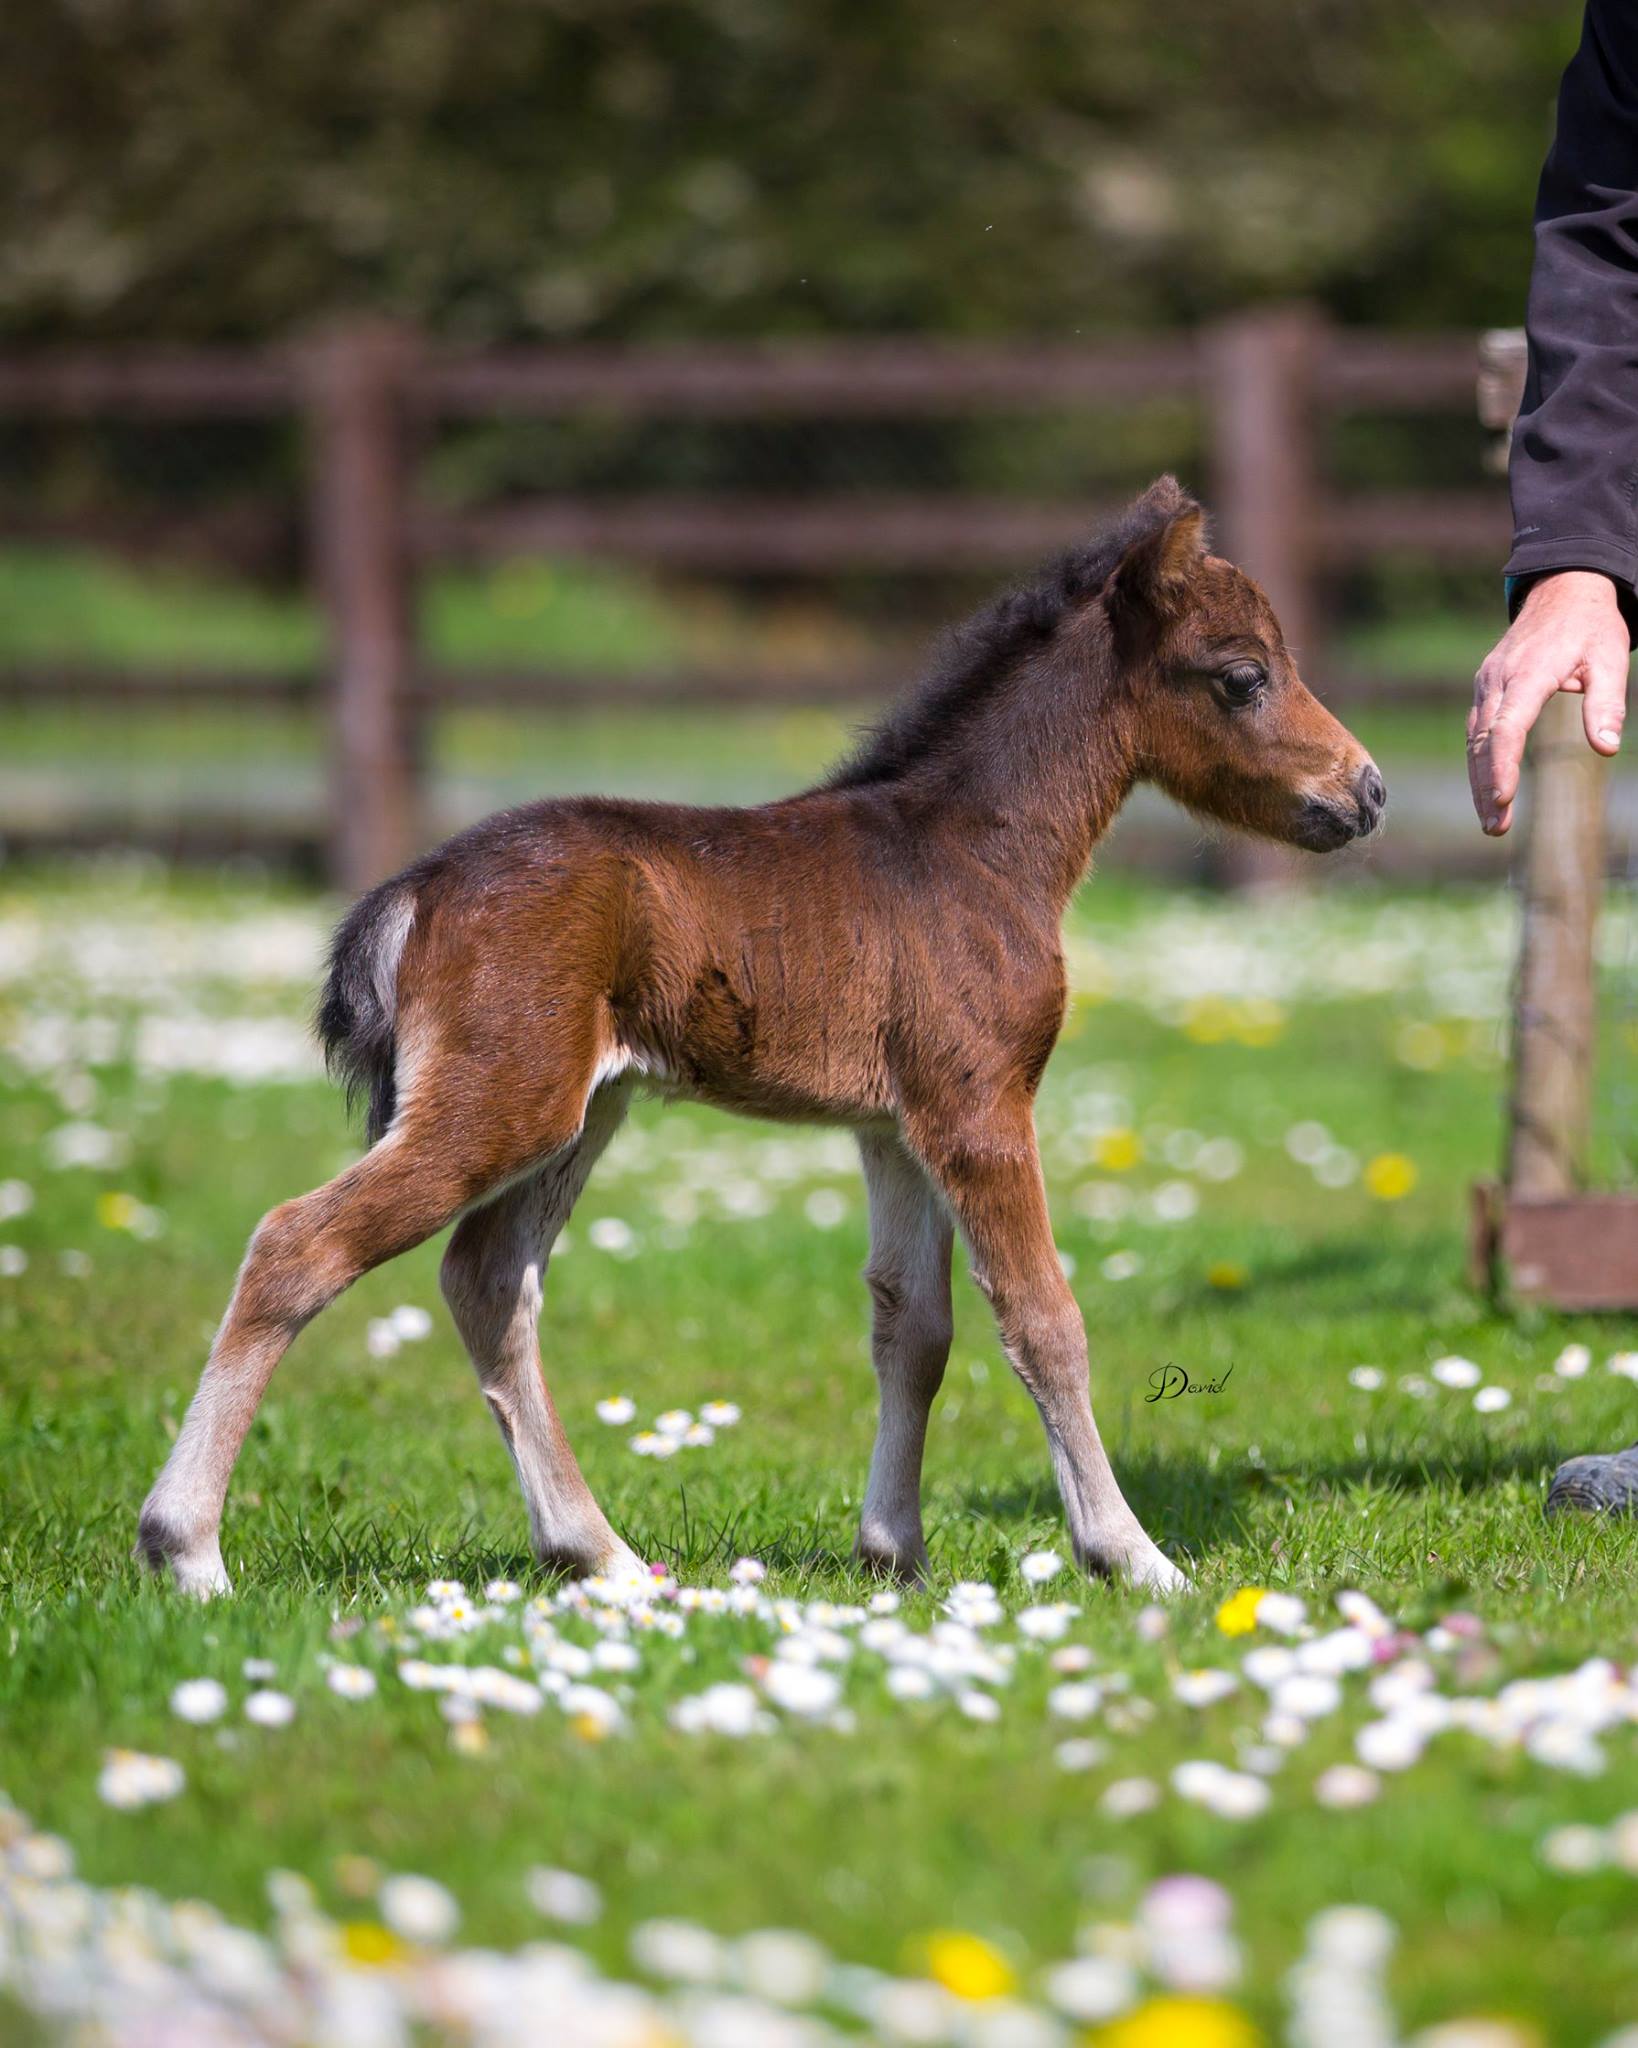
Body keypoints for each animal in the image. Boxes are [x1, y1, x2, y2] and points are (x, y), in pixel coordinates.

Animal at [136, 476, 1384, 1599]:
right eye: (1243, 675)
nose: (1368, 791)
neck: (977, 845)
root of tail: (418, 887)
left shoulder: (895, 1124)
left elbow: (914, 1326)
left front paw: (893, 1553)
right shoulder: (979, 1103)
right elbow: (1042, 1319)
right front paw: (1131, 1555)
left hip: (582, 1107)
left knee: (489, 1280)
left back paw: (602, 1556)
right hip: (507, 1099)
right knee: (299, 1243)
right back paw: (187, 1549)